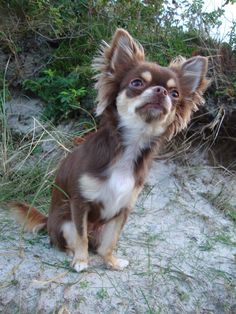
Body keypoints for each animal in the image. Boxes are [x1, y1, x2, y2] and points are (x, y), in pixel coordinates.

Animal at [12, 28, 209, 272]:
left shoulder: (121, 210)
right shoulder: (79, 203)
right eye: (136, 83)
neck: (130, 146)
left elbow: (111, 242)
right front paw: (81, 260)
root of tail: (48, 220)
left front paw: (112, 262)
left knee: (97, 244)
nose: (162, 91)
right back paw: (72, 254)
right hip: (64, 221)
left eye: (175, 94)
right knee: (68, 241)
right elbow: (81, 237)